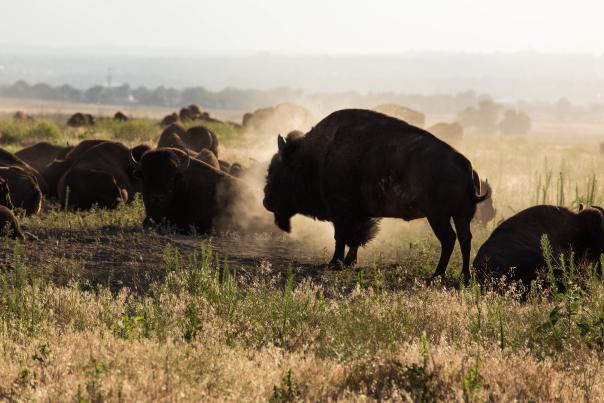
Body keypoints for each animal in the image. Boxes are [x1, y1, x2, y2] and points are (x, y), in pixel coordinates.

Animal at [262, 109, 488, 282]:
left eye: (277, 170)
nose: (266, 201)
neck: (316, 156)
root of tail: (465, 165)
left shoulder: (342, 212)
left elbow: (341, 237)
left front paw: (335, 263)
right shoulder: (359, 215)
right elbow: (354, 239)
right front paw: (348, 262)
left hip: (438, 216)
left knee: (449, 239)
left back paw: (437, 275)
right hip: (461, 216)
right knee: (464, 239)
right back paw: (464, 277)